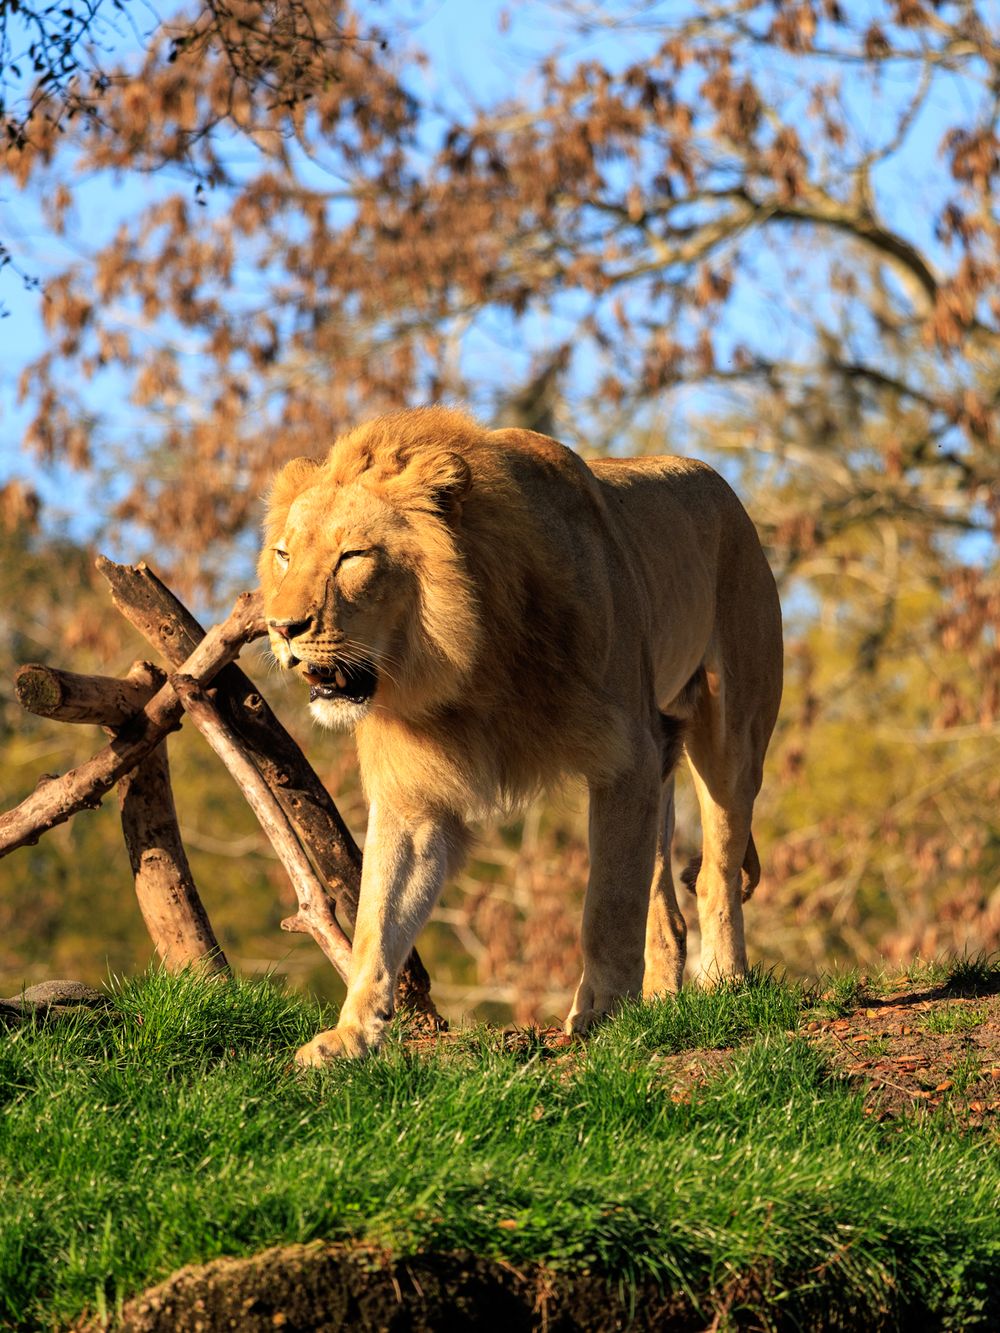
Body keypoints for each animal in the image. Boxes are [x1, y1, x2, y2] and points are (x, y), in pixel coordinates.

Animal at [260, 406, 782, 1064]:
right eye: (283, 554)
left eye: (353, 556)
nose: (281, 627)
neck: (468, 662)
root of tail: (719, 483)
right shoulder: (414, 793)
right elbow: (377, 919)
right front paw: (351, 1033)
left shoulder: (626, 754)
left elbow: (608, 903)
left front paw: (602, 1016)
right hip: (664, 747)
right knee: (663, 903)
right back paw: (664, 1001)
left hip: (731, 735)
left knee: (716, 870)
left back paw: (723, 984)